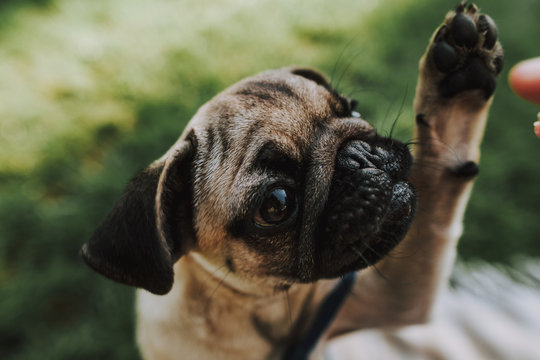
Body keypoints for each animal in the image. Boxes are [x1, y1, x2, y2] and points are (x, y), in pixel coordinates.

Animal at [80, 3, 510, 360]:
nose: (361, 156)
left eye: (353, 108)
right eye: (276, 204)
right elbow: (437, 207)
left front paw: (462, 71)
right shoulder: (399, 296)